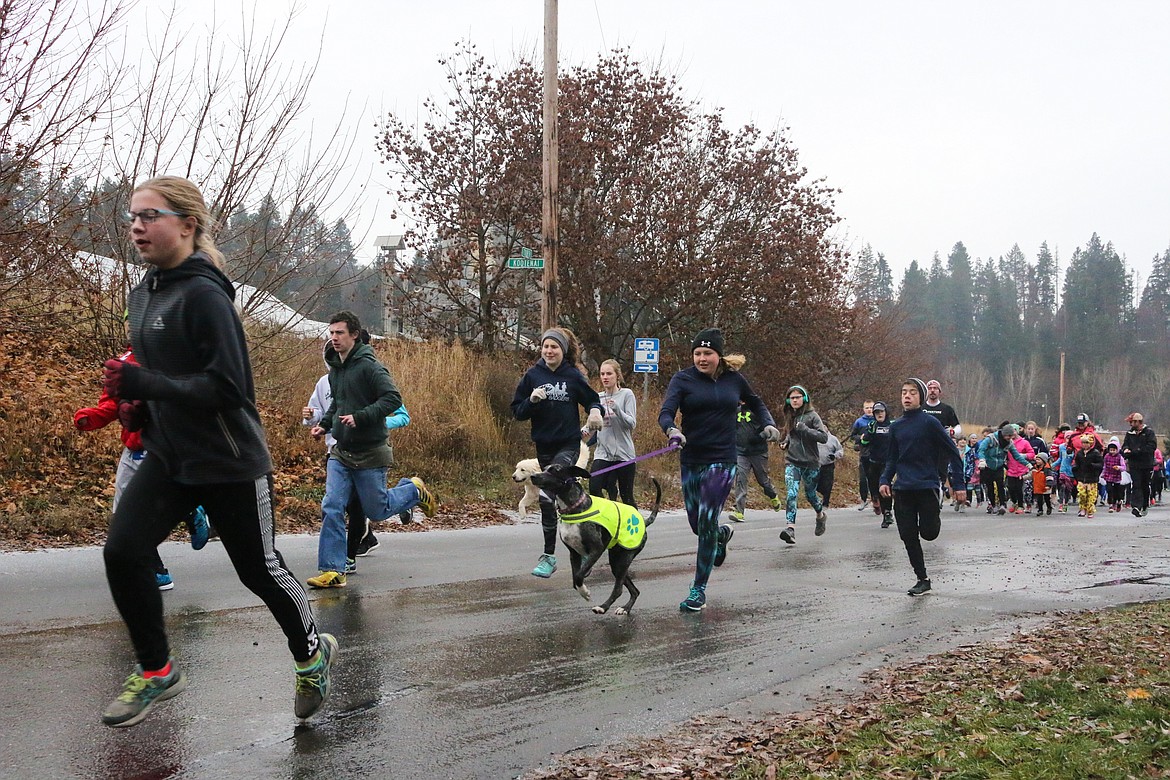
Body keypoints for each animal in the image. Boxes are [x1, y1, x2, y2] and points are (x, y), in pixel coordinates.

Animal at [528, 463, 659, 617]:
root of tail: (644, 522)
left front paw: (585, 593)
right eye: (544, 468)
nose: (533, 476)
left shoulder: (597, 549)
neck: (573, 508)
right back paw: (625, 608)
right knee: (634, 591)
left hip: (623, 560)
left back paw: (603, 607)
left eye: (555, 470)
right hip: (616, 563)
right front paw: (583, 591)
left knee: (619, 589)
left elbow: (579, 576)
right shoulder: (574, 554)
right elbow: (575, 579)